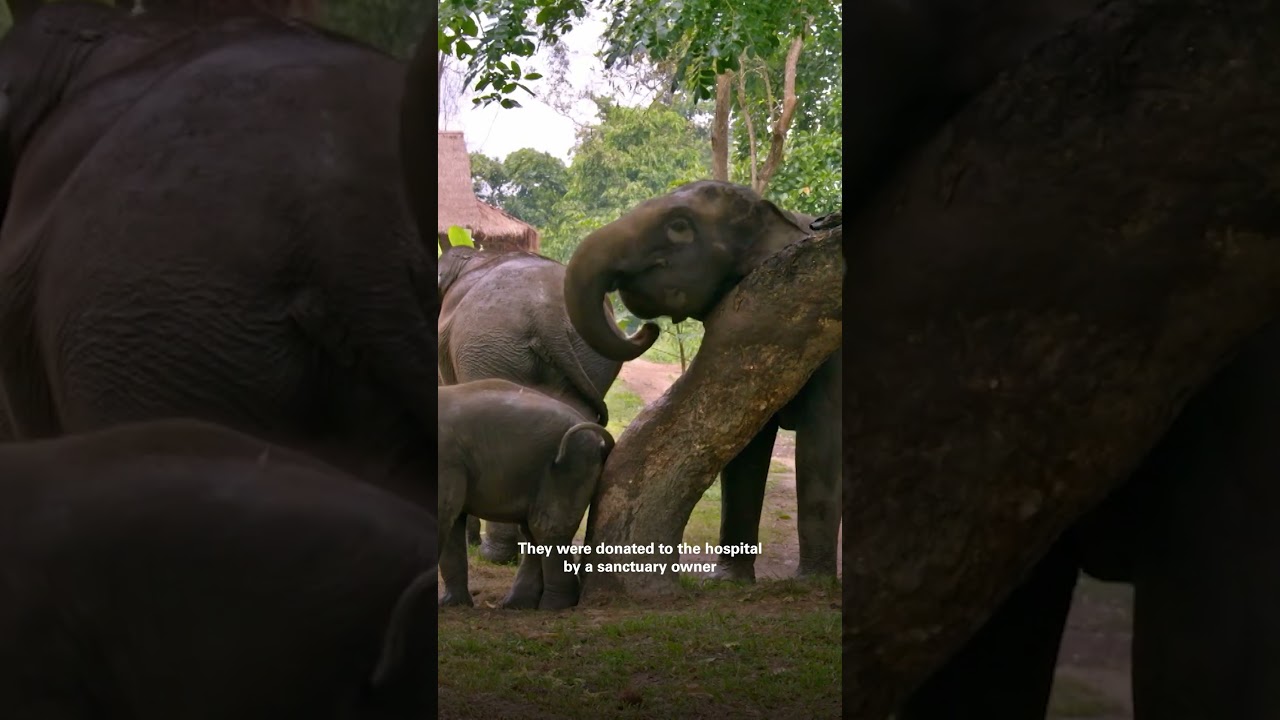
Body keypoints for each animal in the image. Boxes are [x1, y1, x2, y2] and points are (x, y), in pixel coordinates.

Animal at [438, 379, 615, 610]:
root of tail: (601, 443)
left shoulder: (445, 459)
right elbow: (452, 522)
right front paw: (452, 605)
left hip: (570, 466)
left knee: (547, 528)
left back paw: (552, 607)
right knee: (532, 531)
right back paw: (517, 604)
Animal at [563, 179, 841, 579]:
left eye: (679, 226)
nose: (647, 329)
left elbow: (821, 439)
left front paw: (811, 581)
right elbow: (746, 450)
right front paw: (729, 580)